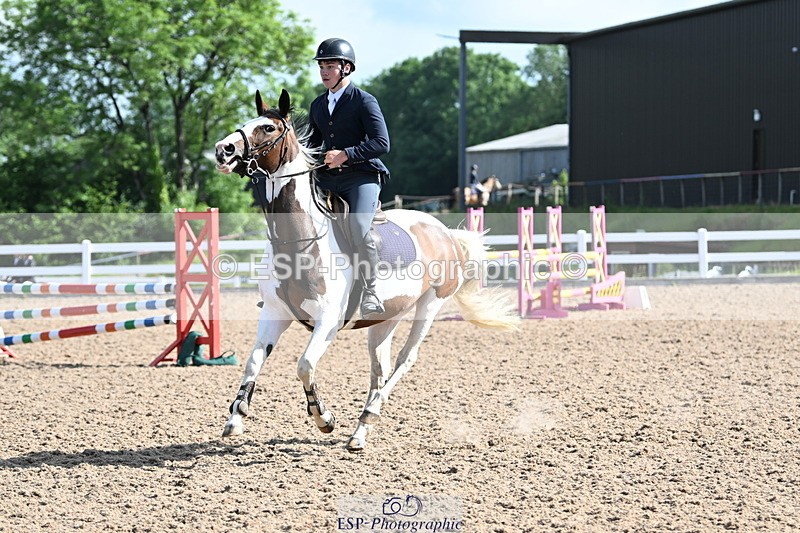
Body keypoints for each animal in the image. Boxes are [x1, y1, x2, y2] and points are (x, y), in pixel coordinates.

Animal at [213, 89, 519, 452]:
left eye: (268, 128)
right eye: (247, 122)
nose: (223, 149)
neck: (299, 239)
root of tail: (443, 231)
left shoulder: (328, 321)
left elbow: (305, 365)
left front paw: (324, 418)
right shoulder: (275, 313)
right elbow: (253, 362)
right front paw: (236, 417)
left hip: (429, 306)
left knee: (404, 360)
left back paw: (368, 415)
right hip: (385, 318)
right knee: (379, 367)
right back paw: (360, 431)